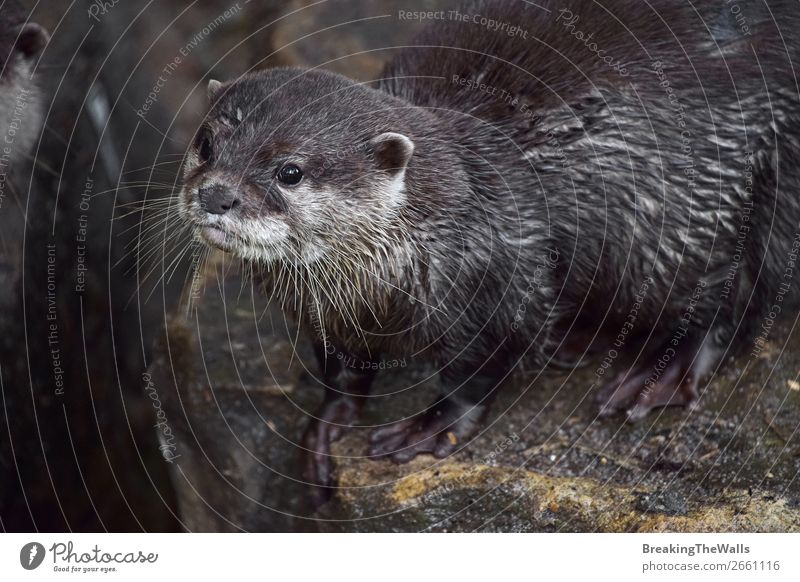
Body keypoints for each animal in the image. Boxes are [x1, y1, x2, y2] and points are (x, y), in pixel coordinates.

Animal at [180, 0, 800, 496]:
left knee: (739, 295)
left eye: (290, 171)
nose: (215, 194)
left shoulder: (504, 279)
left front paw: (426, 427)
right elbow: (343, 368)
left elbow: (484, 367)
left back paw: (656, 375)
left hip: (737, 195)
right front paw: (327, 426)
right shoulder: (327, 315)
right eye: (206, 144)